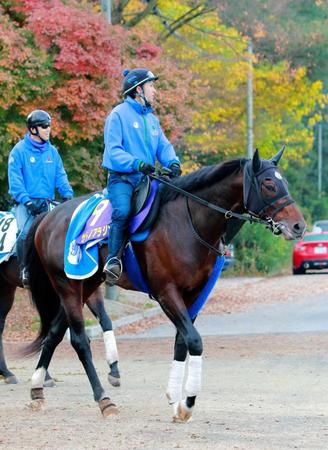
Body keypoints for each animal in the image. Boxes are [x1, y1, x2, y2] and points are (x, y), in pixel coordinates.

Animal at [25, 149, 304, 420]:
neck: (187, 222)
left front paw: (175, 400)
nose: (298, 226)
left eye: (285, 183)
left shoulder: (194, 294)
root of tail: (49, 217)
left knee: (54, 333)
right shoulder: (166, 293)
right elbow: (194, 341)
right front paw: (188, 402)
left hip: (86, 285)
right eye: (269, 184)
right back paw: (104, 400)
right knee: (79, 341)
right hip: (68, 287)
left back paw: (37, 389)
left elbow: (181, 342)